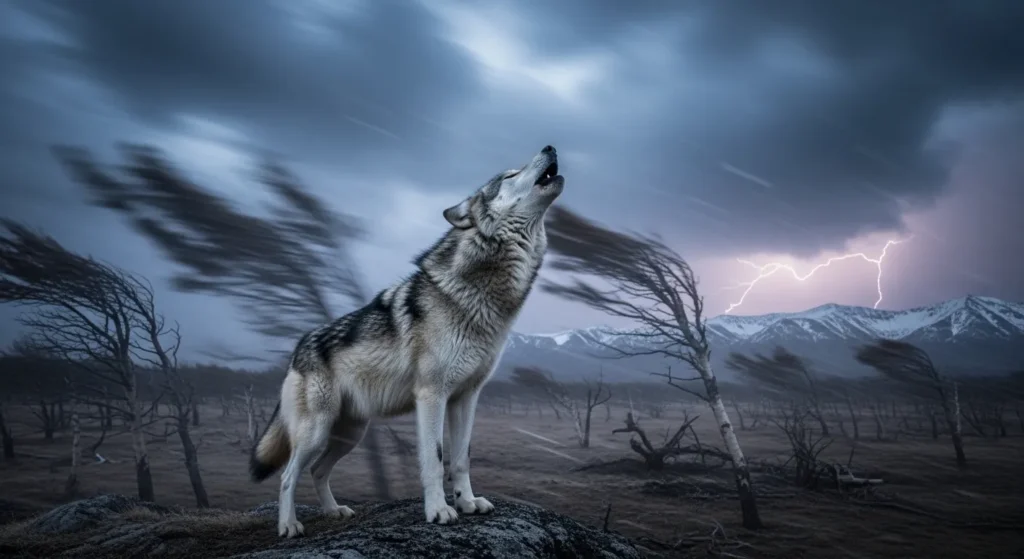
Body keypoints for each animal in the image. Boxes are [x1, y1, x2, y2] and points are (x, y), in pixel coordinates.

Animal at [248, 145, 564, 537]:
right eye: (510, 175)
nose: (550, 146)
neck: (482, 294)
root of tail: (297, 349)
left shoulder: (467, 397)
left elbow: (461, 459)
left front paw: (468, 502)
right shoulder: (431, 395)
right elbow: (435, 459)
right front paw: (439, 510)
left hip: (350, 433)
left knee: (317, 470)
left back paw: (334, 511)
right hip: (316, 432)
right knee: (288, 475)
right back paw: (289, 525)